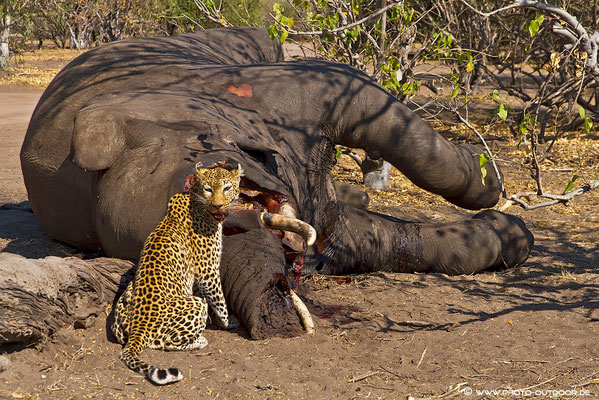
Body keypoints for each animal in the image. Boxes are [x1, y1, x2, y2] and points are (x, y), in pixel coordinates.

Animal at [111, 162, 243, 384]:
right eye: (209, 189)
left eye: (227, 188)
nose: (217, 205)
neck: (195, 199)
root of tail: (139, 327)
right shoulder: (208, 270)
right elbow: (219, 301)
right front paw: (228, 322)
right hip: (196, 306)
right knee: (166, 343)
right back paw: (200, 340)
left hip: (124, 304)